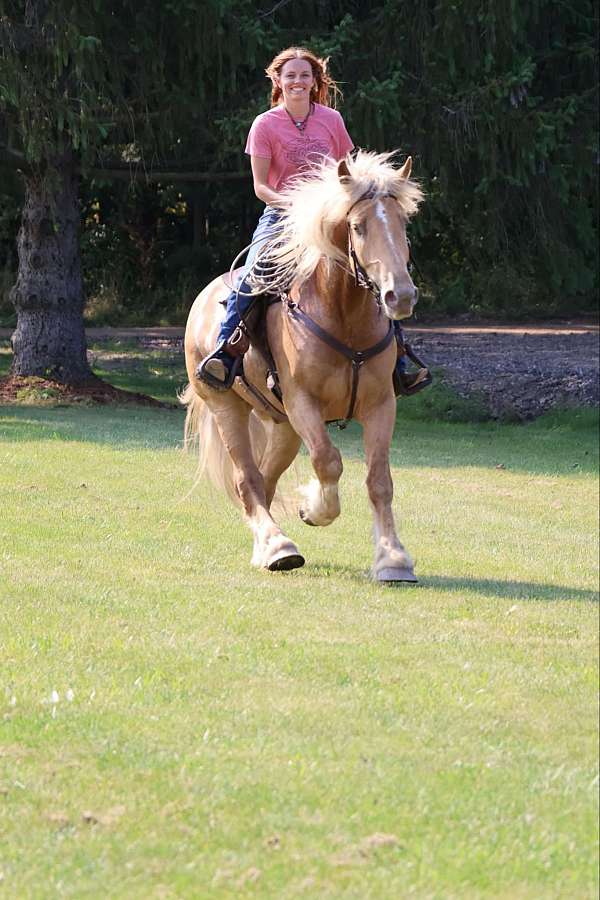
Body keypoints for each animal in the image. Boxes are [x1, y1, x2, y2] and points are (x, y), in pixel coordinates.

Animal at [182, 149, 422, 584]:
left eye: (402, 224)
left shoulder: (381, 405)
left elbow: (379, 481)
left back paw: (267, 545)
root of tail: (203, 299)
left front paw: (393, 558)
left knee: (265, 480)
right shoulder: (303, 404)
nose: (401, 295)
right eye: (358, 227)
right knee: (247, 480)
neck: (342, 317)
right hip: (227, 408)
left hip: (283, 427)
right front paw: (315, 508)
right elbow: (328, 461)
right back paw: (278, 547)